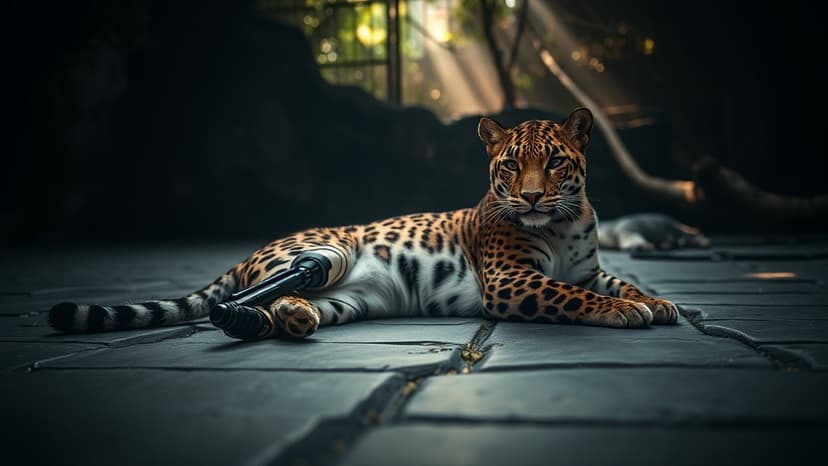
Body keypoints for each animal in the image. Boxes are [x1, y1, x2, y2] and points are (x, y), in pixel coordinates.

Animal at [49, 108, 679, 338]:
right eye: (509, 166)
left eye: (553, 163)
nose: (529, 198)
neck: (565, 222)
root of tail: (251, 251)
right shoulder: (509, 279)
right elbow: (573, 296)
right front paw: (625, 312)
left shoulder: (589, 268)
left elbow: (616, 282)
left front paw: (657, 301)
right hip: (326, 256)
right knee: (257, 293)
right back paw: (256, 314)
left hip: (349, 300)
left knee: (284, 308)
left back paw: (289, 321)